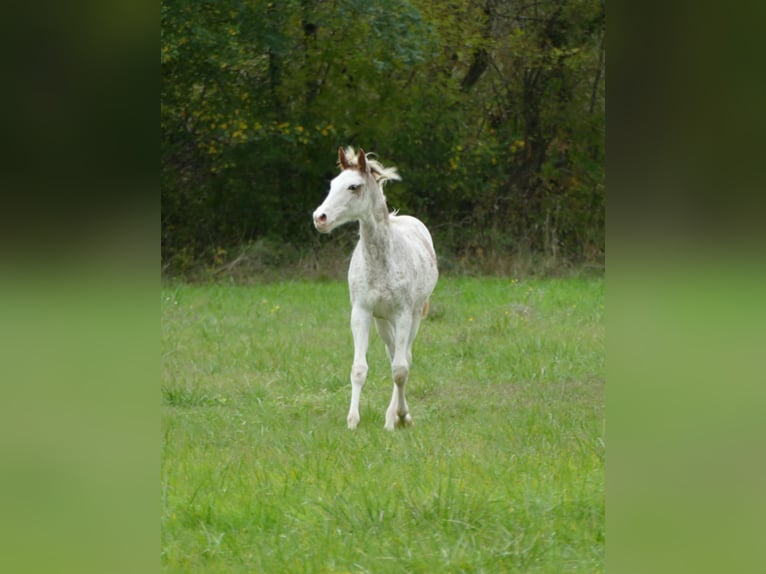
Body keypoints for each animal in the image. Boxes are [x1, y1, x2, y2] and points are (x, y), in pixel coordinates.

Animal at [313, 147, 439, 430]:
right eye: (332, 184)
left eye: (353, 186)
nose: (320, 218)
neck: (381, 260)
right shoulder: (362, 312)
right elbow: (359, 368)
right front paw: (352, 422)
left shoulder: (403, 314)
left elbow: (400, 370)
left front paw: (396, 418)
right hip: (382, 320)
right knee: (393, 354)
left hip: (413, 316)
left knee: (404, 359)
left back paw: (399, 416)